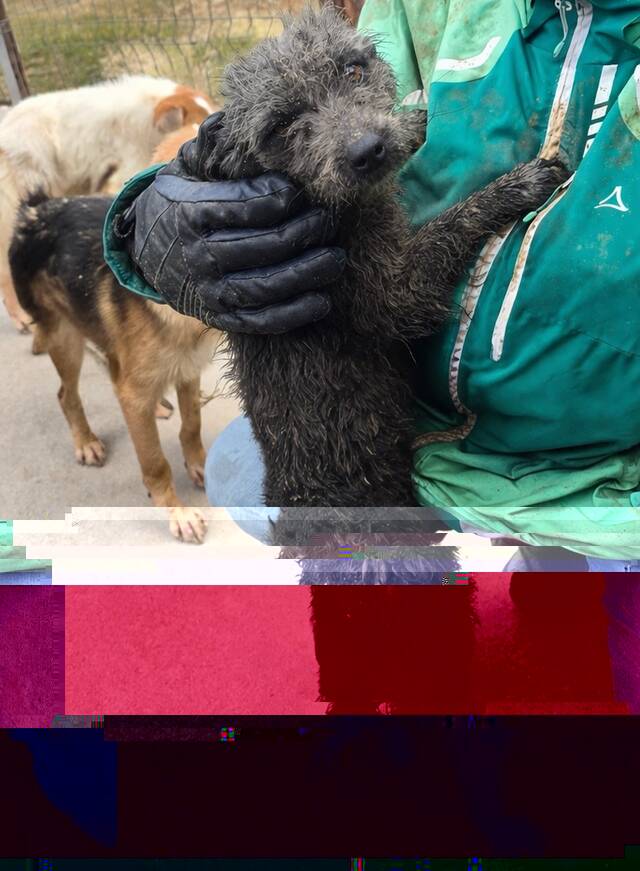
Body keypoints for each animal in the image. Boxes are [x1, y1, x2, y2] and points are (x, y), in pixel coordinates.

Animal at [9, 123, 221, 544]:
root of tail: (35, 208)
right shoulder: (140, 390)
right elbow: (154, 462)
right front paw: (177, 511)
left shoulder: (188, 371)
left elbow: (191, 425)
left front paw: (200, 466)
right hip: (64, 336)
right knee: (67, 395)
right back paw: (87, 442)